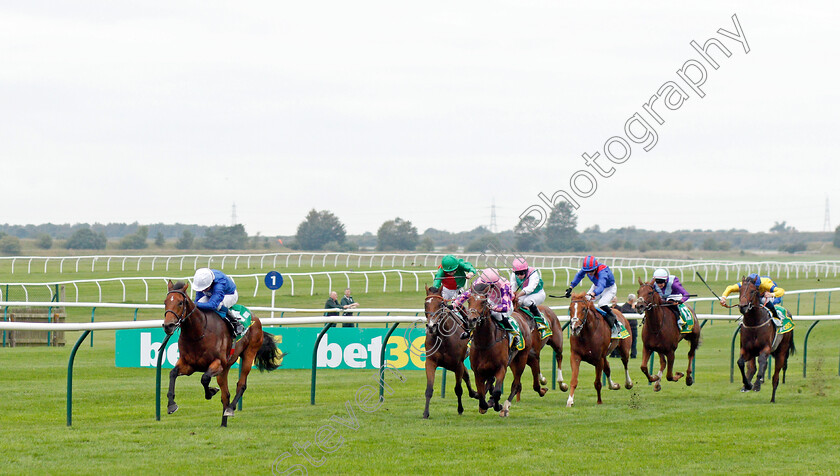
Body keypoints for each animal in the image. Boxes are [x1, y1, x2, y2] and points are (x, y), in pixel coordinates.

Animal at [162, 280, 284, 426]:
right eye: (165, 302)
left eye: (180, 302)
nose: (168, 325)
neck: (198, 333)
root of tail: (255, 317)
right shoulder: (189, 365)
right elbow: (173, 373)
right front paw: (171, 405)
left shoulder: (218, 363)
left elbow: (204, 378)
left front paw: (210, 392)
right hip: (225, 368)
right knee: (226, 395)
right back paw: (223, 424)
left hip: (249, 353)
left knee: (241, 385)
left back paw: (230, 409)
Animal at [420, 284, 480, 418]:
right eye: (426, 304)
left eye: (440, 304)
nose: (431, 326)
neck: (443, 338)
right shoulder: (431, 362)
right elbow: (429, 389)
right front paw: (425, 413)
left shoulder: (457, 364)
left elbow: (458, 389)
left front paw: (460, 409)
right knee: (466, 375)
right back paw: (475, 393)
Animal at [466, 282, 532, 416]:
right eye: (469, 301)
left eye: (483, 302)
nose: (471, 320)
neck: (485, 343)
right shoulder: (477, 371)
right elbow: (481, 394)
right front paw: (484, 405)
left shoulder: (501, 367)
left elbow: (497, 392)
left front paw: (497, 405)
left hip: (521, 359)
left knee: (516, 384)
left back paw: (505, 407)